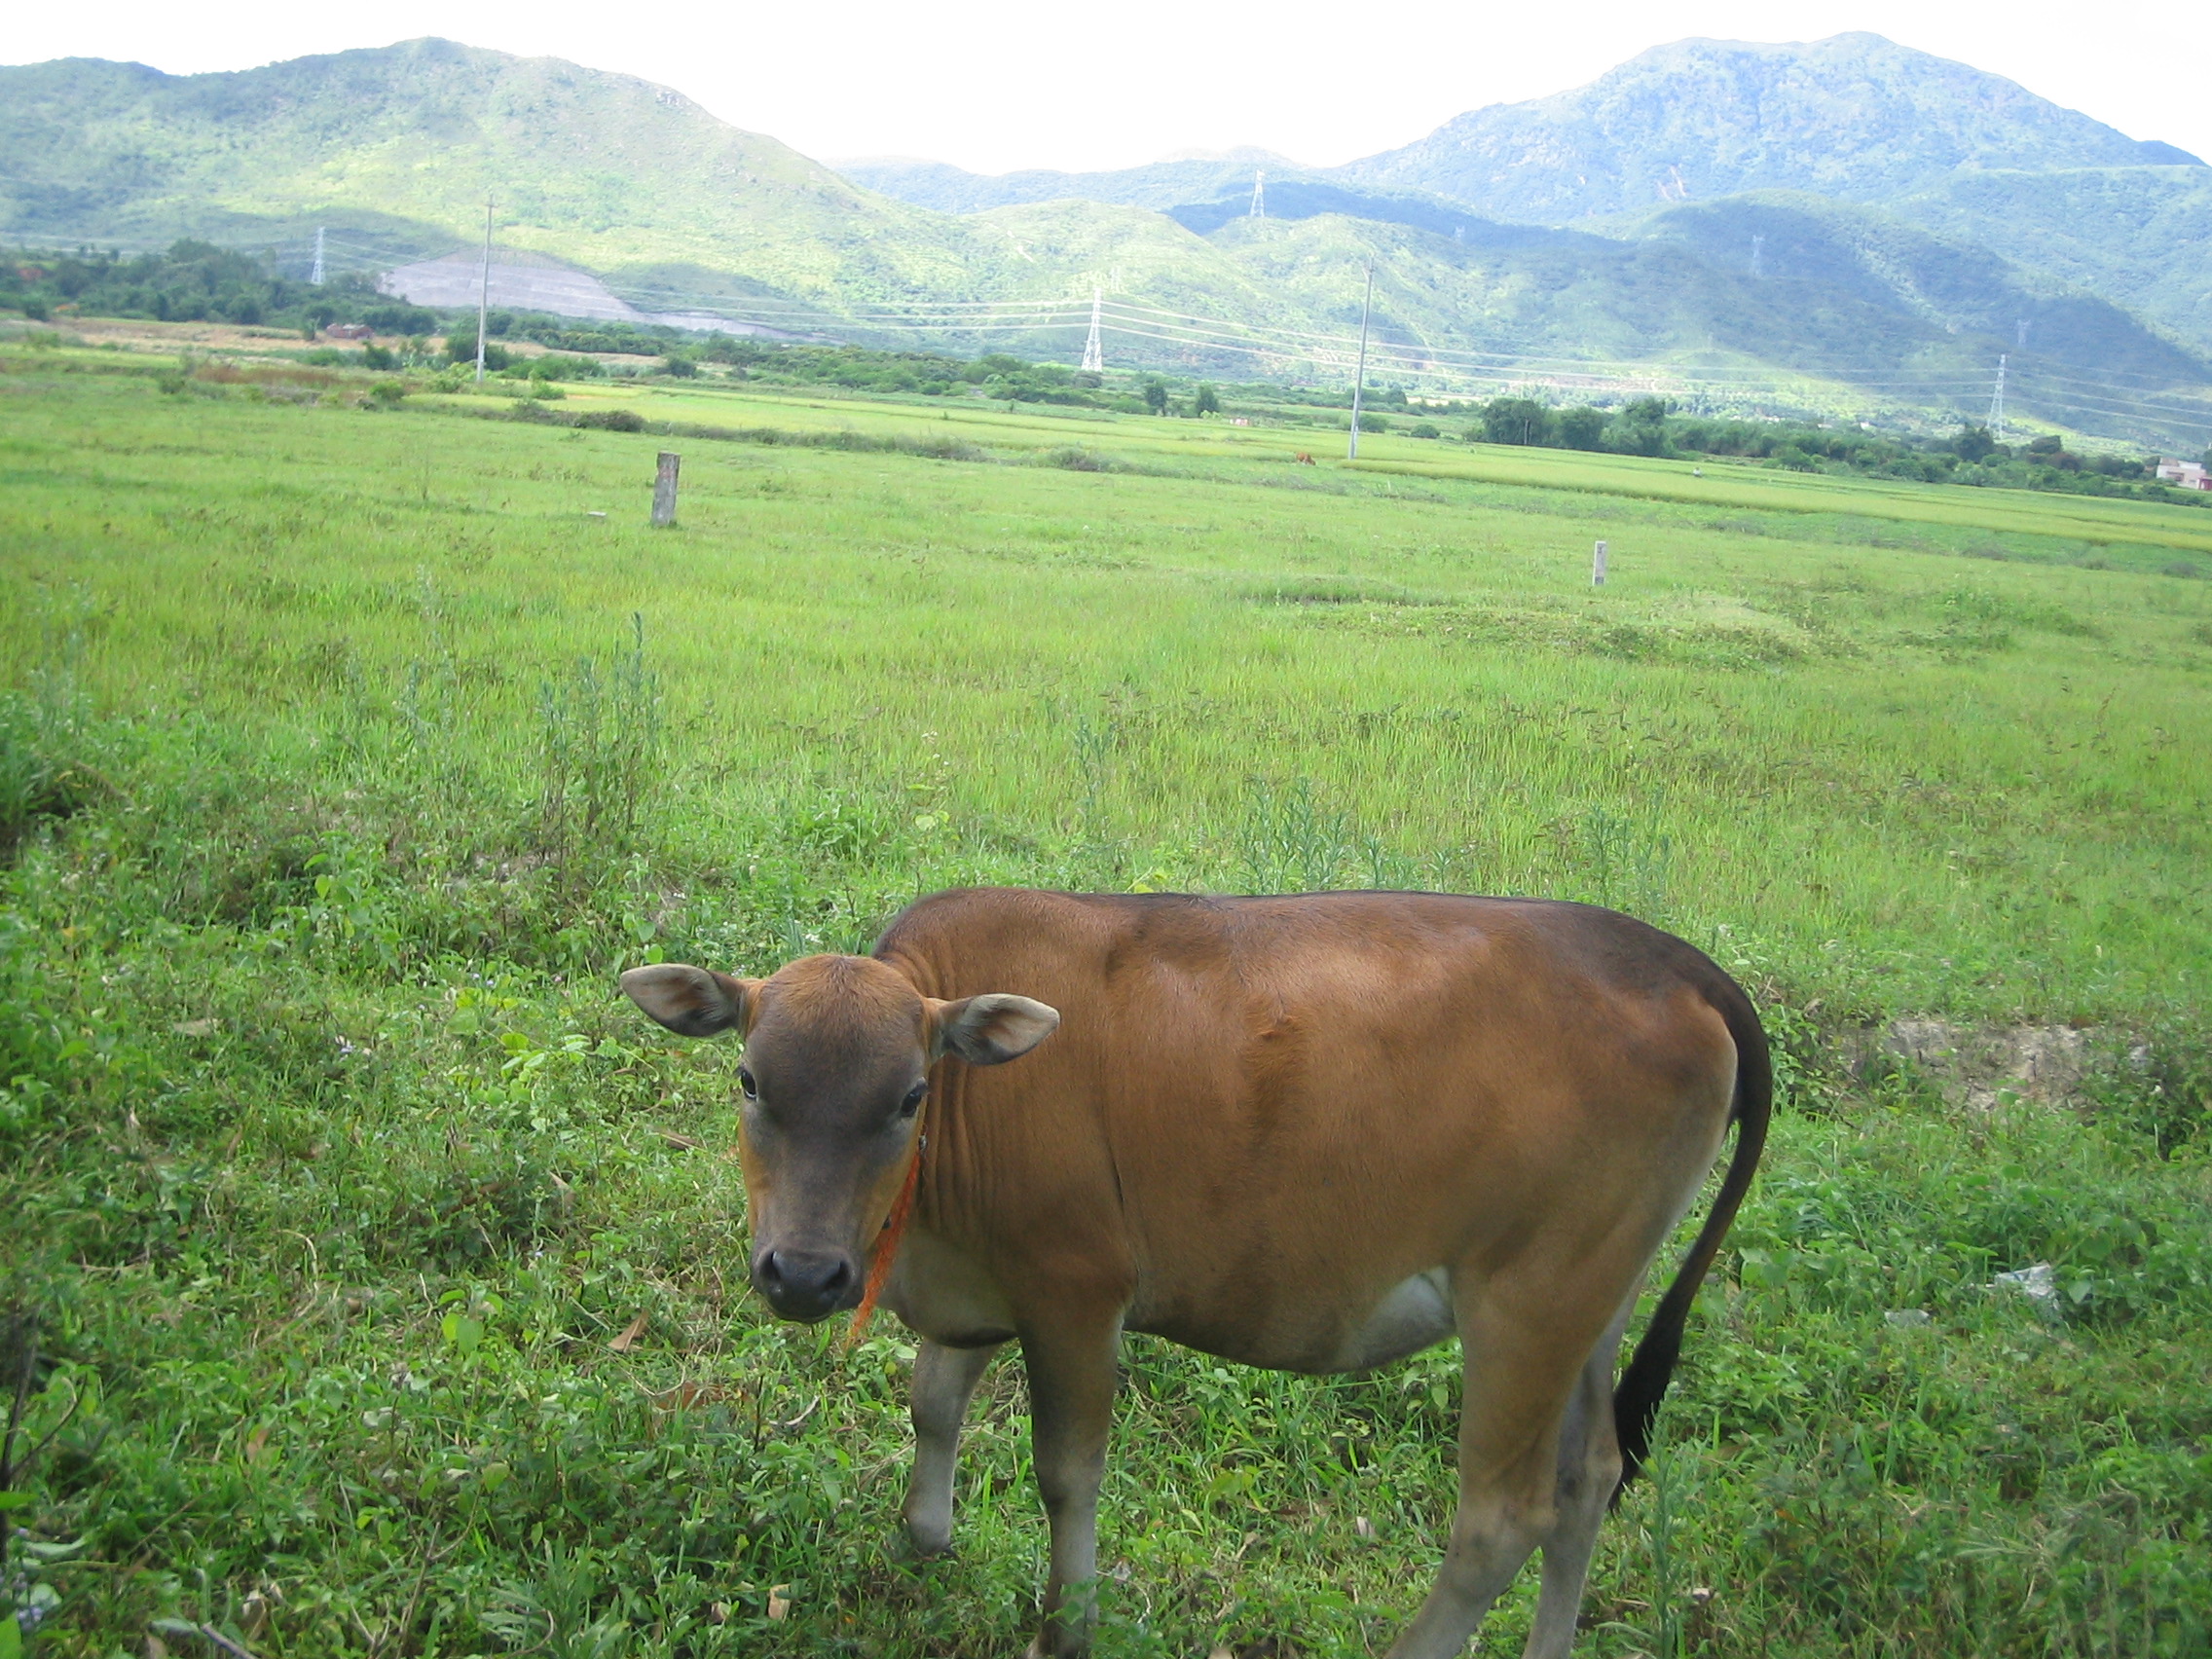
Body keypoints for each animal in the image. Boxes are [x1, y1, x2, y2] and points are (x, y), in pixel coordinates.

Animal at [621, 886, 1768, 1659]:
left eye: (908, 1096)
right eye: (750, 1080)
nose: (805, 1273)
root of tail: (1671, 958)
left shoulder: (1075, 1288)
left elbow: (1065, 1472)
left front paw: (1066, 1623)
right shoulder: (977, 1287)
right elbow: (934, 1407)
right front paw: (924, 1543)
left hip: (1528, 1302)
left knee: (1501, 1521)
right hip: (1595, 1297)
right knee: (1589, 1480)